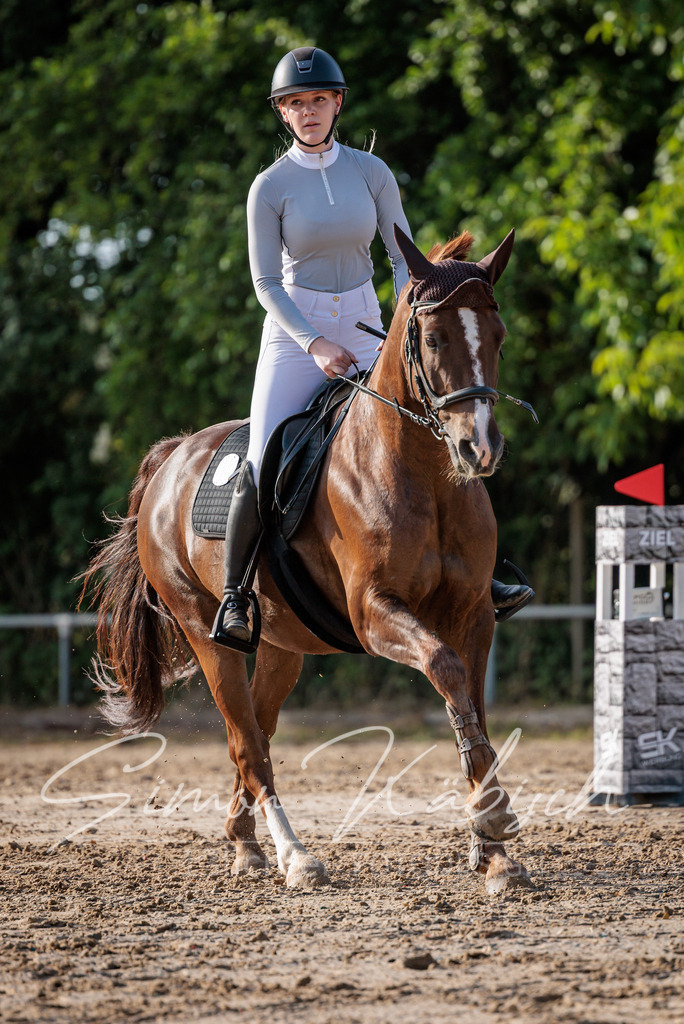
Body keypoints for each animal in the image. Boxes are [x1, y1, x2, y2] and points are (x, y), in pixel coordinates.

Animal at [81, 225, 534, 894]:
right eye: (433, 339)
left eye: (498, 336)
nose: (479, 448)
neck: (427, 476)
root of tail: (171, 458)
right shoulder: (374, 614)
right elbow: (446, 671)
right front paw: (495, 824)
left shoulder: (474, 613)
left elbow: (471, 701)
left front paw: (494, 850)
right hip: (204, 630)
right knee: (247, 744)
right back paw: (294, 857)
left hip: (281, 646)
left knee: (257, 733)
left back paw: (245, 843)